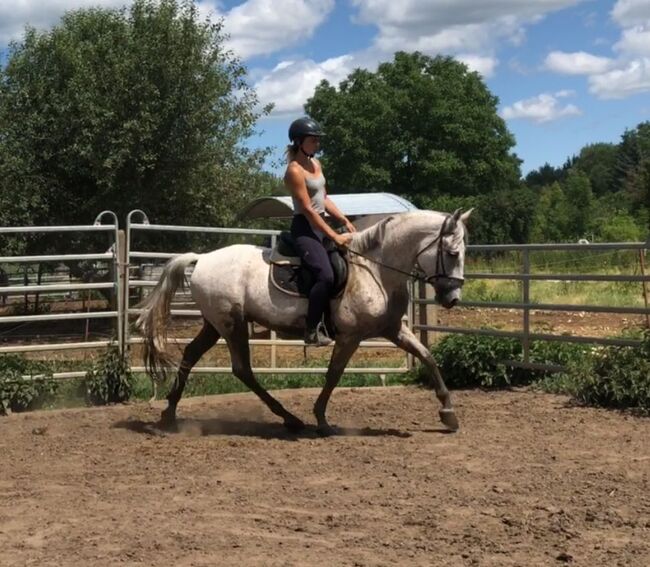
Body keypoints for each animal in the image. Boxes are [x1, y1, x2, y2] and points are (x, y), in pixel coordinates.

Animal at [137, 209, 470, 434]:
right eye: (453, 253)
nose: (453, 298)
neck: (375, 269)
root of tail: (202, 259)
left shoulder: (393, 329)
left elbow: (427, 357)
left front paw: (449, 413)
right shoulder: (350, 336)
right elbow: (334, 374)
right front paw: (321, 419)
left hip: (214, 324)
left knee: (191, 355)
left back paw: (169, 415)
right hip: (231, 324)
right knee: (242, 369)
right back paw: (290, 418)